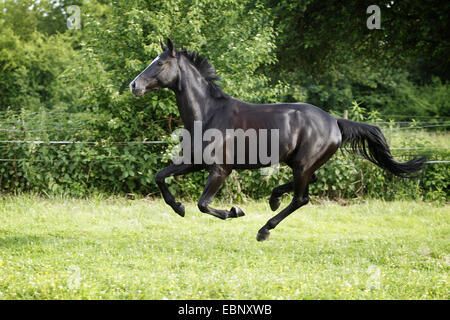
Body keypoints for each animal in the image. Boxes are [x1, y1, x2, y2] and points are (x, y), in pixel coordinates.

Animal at [129, 38, 426, 241]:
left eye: (160, 63)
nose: (134, 85)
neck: (209, 113)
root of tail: (334, 121)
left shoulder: (220, 170)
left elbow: (203, 204)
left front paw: (235, 211)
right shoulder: (195, 163)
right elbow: (160, 176)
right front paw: (179, 208)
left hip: (302, 164)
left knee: (301, 199)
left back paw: (265, 229)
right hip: (299, 163)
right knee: (308, 184)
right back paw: (273, 198)